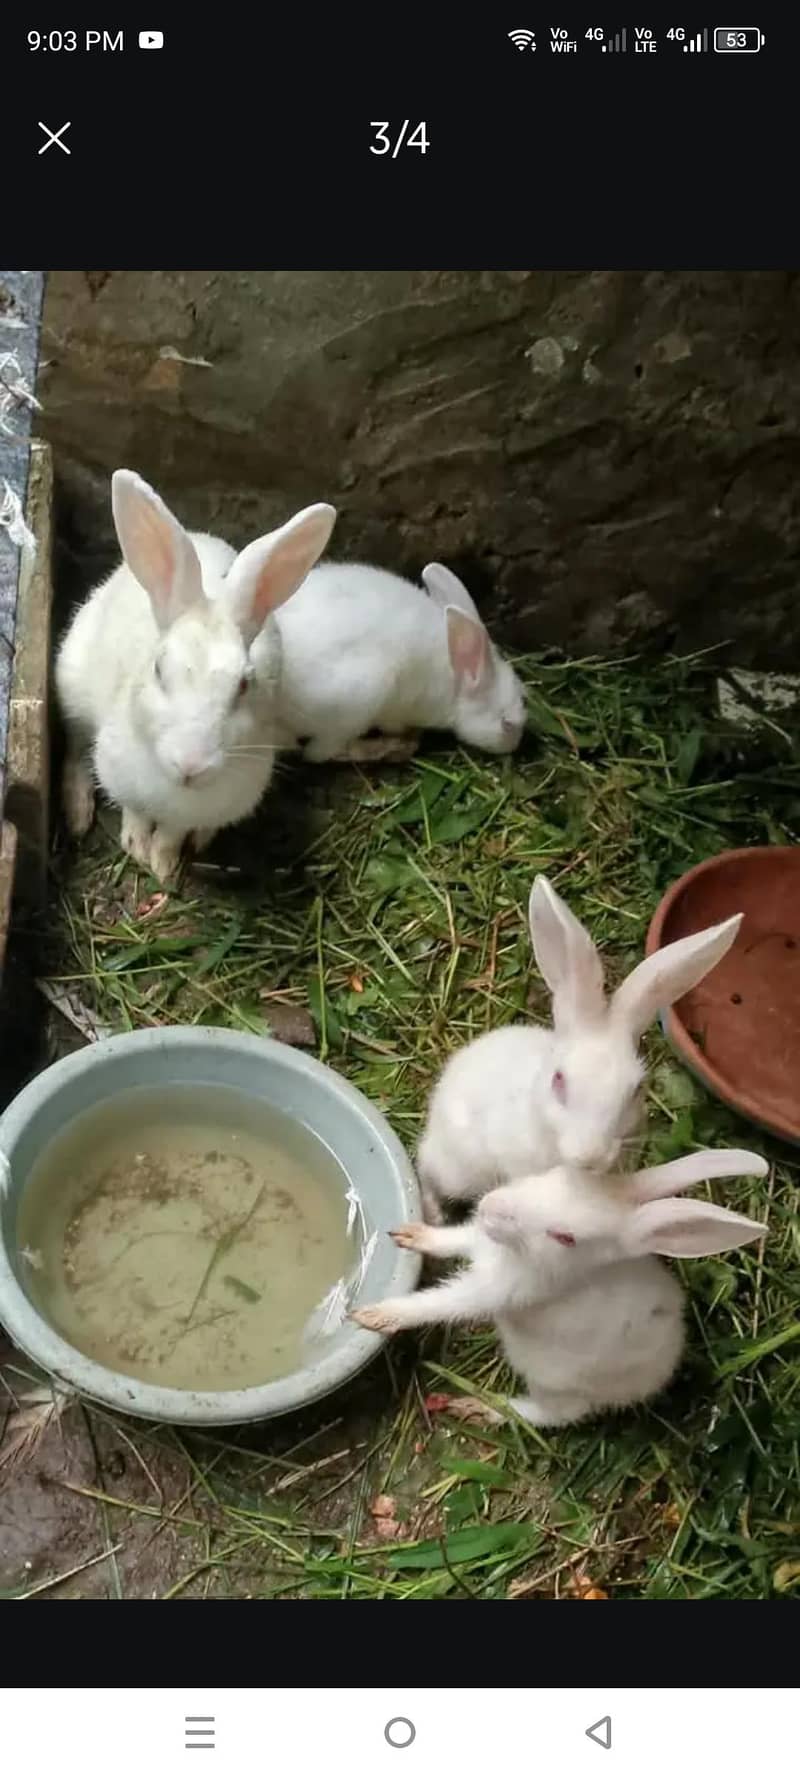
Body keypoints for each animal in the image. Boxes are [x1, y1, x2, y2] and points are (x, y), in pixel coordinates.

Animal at [55, 470, 336, 881]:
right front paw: (136, 847)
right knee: (76, 746)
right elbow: (134, 813)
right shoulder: (120, 778)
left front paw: (163, 865)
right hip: (72, 684)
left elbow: (172, 833)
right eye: (158, 669)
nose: (190, 766)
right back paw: (76, 812)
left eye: (244, 684)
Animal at [352, 1146, 768, 1428]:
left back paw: (479, 1407)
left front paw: (374, 1316)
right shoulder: (476, 1242)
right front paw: (412, 1235)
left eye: (566, 1237)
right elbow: (449, 1240)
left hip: (557, 1386)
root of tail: (657, 1377)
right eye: (555, 1174)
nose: (491, 1206)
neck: (511, 1254)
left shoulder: (495, 1291)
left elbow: (437, 1304)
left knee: (552, 1416)